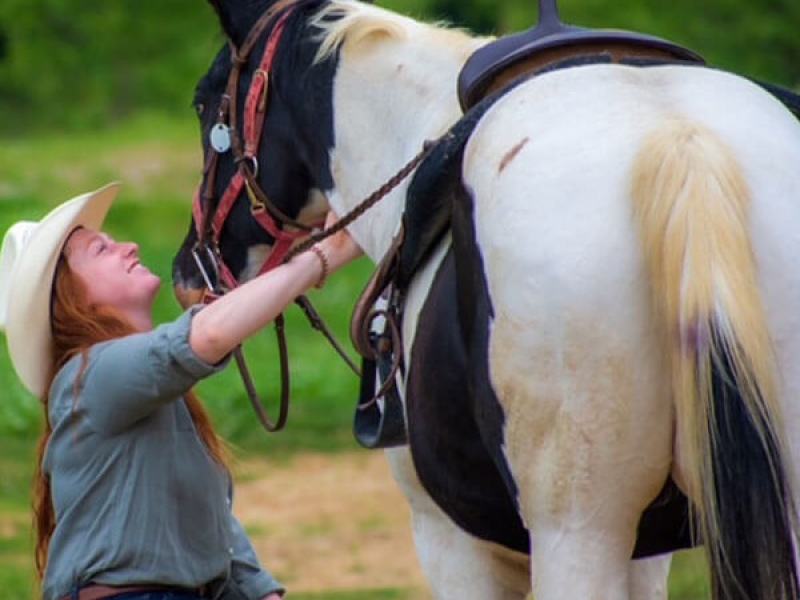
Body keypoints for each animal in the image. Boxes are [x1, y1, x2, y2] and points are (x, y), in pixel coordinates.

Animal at [171, 1, 800, 598]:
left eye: (205, 105)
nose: (187, 273)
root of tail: (683, 143)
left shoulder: (451, 539)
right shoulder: (648, 553)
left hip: (577, 531)